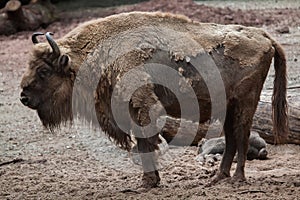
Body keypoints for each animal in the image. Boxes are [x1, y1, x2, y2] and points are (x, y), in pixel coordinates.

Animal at [20, 11, 288, 188]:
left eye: (43, 71)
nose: (23, 96)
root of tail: (264, 36)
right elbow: (143, 143)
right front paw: (151, 180)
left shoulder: (143, 106)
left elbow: (145, 142)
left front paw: (148, 181)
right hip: (230, 106)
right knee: (232, 138)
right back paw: (217, 178)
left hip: (245, 103)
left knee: (241, 135)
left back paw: (238, 179)